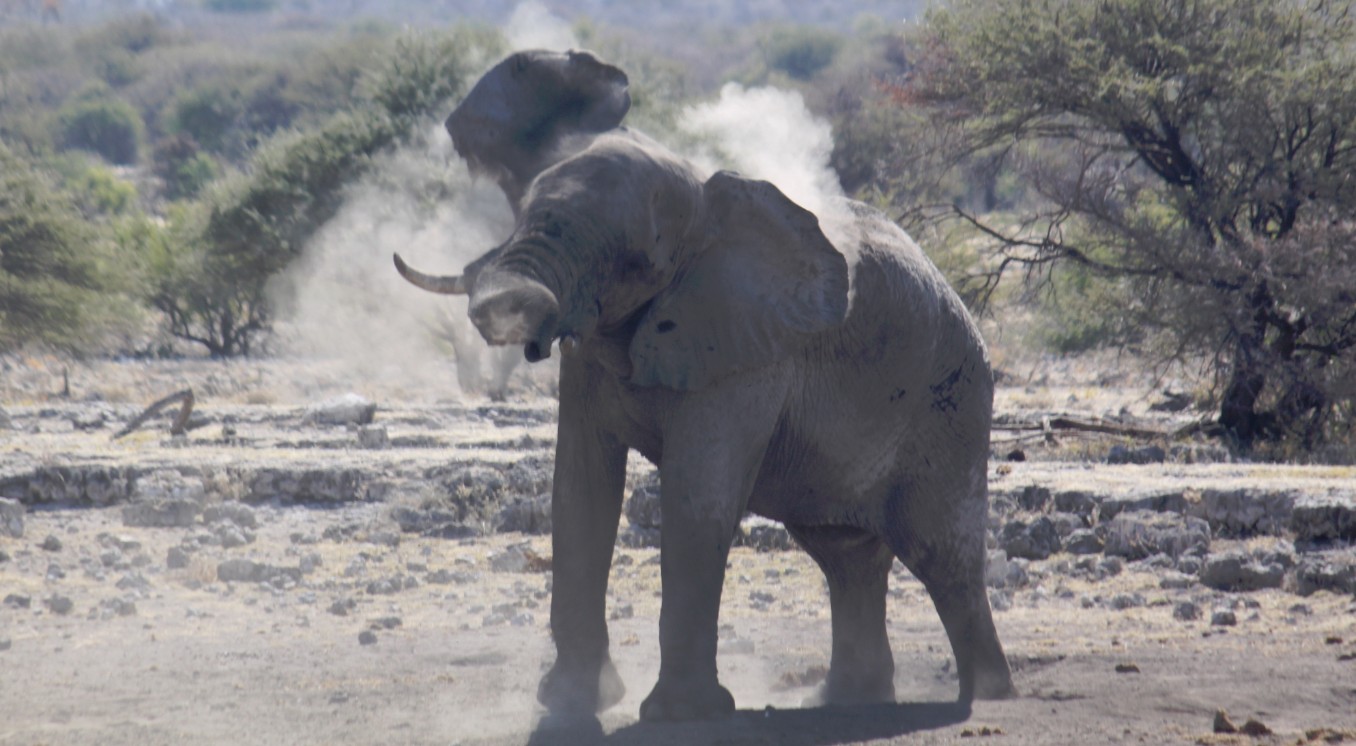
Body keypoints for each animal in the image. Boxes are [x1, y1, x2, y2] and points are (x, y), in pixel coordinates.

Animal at [395, 49, 1014, 721]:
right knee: (845, 556)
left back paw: (988, 695)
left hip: (950, 406)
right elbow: (580, 491)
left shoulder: (750, 349)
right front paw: (570, 701)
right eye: (523, 208)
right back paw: (848, 701)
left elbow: (696, 497)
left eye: (638, 258)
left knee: (940, 555)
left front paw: (681, 713)